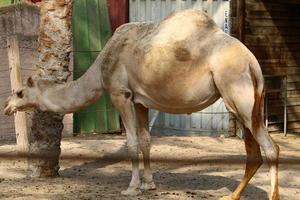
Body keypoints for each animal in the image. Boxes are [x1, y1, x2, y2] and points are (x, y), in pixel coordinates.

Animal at [3, 9, 278, 200]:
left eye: (19, 92)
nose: (6, 106)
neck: (101, 66)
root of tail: (253, 62)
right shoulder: (140, 101)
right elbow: (146, 140)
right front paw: (149, 184)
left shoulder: (120, 94)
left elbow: (132, 141)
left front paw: (132, 187)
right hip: (247, 103)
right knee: (254, 151)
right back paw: (232, 195)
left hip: (237, 93)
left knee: (270, 147)